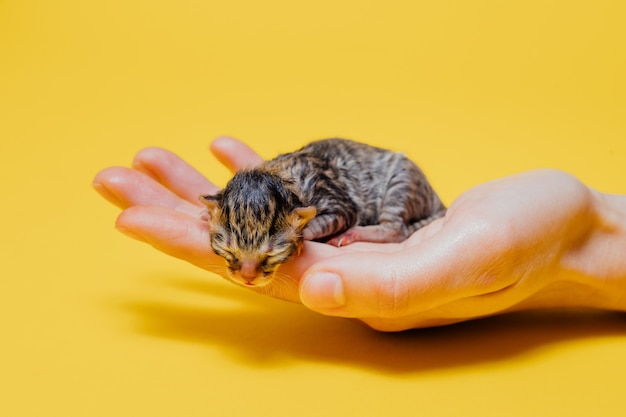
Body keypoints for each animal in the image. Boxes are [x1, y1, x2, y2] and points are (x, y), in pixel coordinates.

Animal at [200, 138, 444, 288]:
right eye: (229, 250)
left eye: (272, 254)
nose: (247, 278)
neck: (285, 177)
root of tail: (436, 200)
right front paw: (205, 214)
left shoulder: (340, 205)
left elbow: (331, 218)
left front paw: (303, 236)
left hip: (401, 183)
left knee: (395, 229)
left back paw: (353, 234)